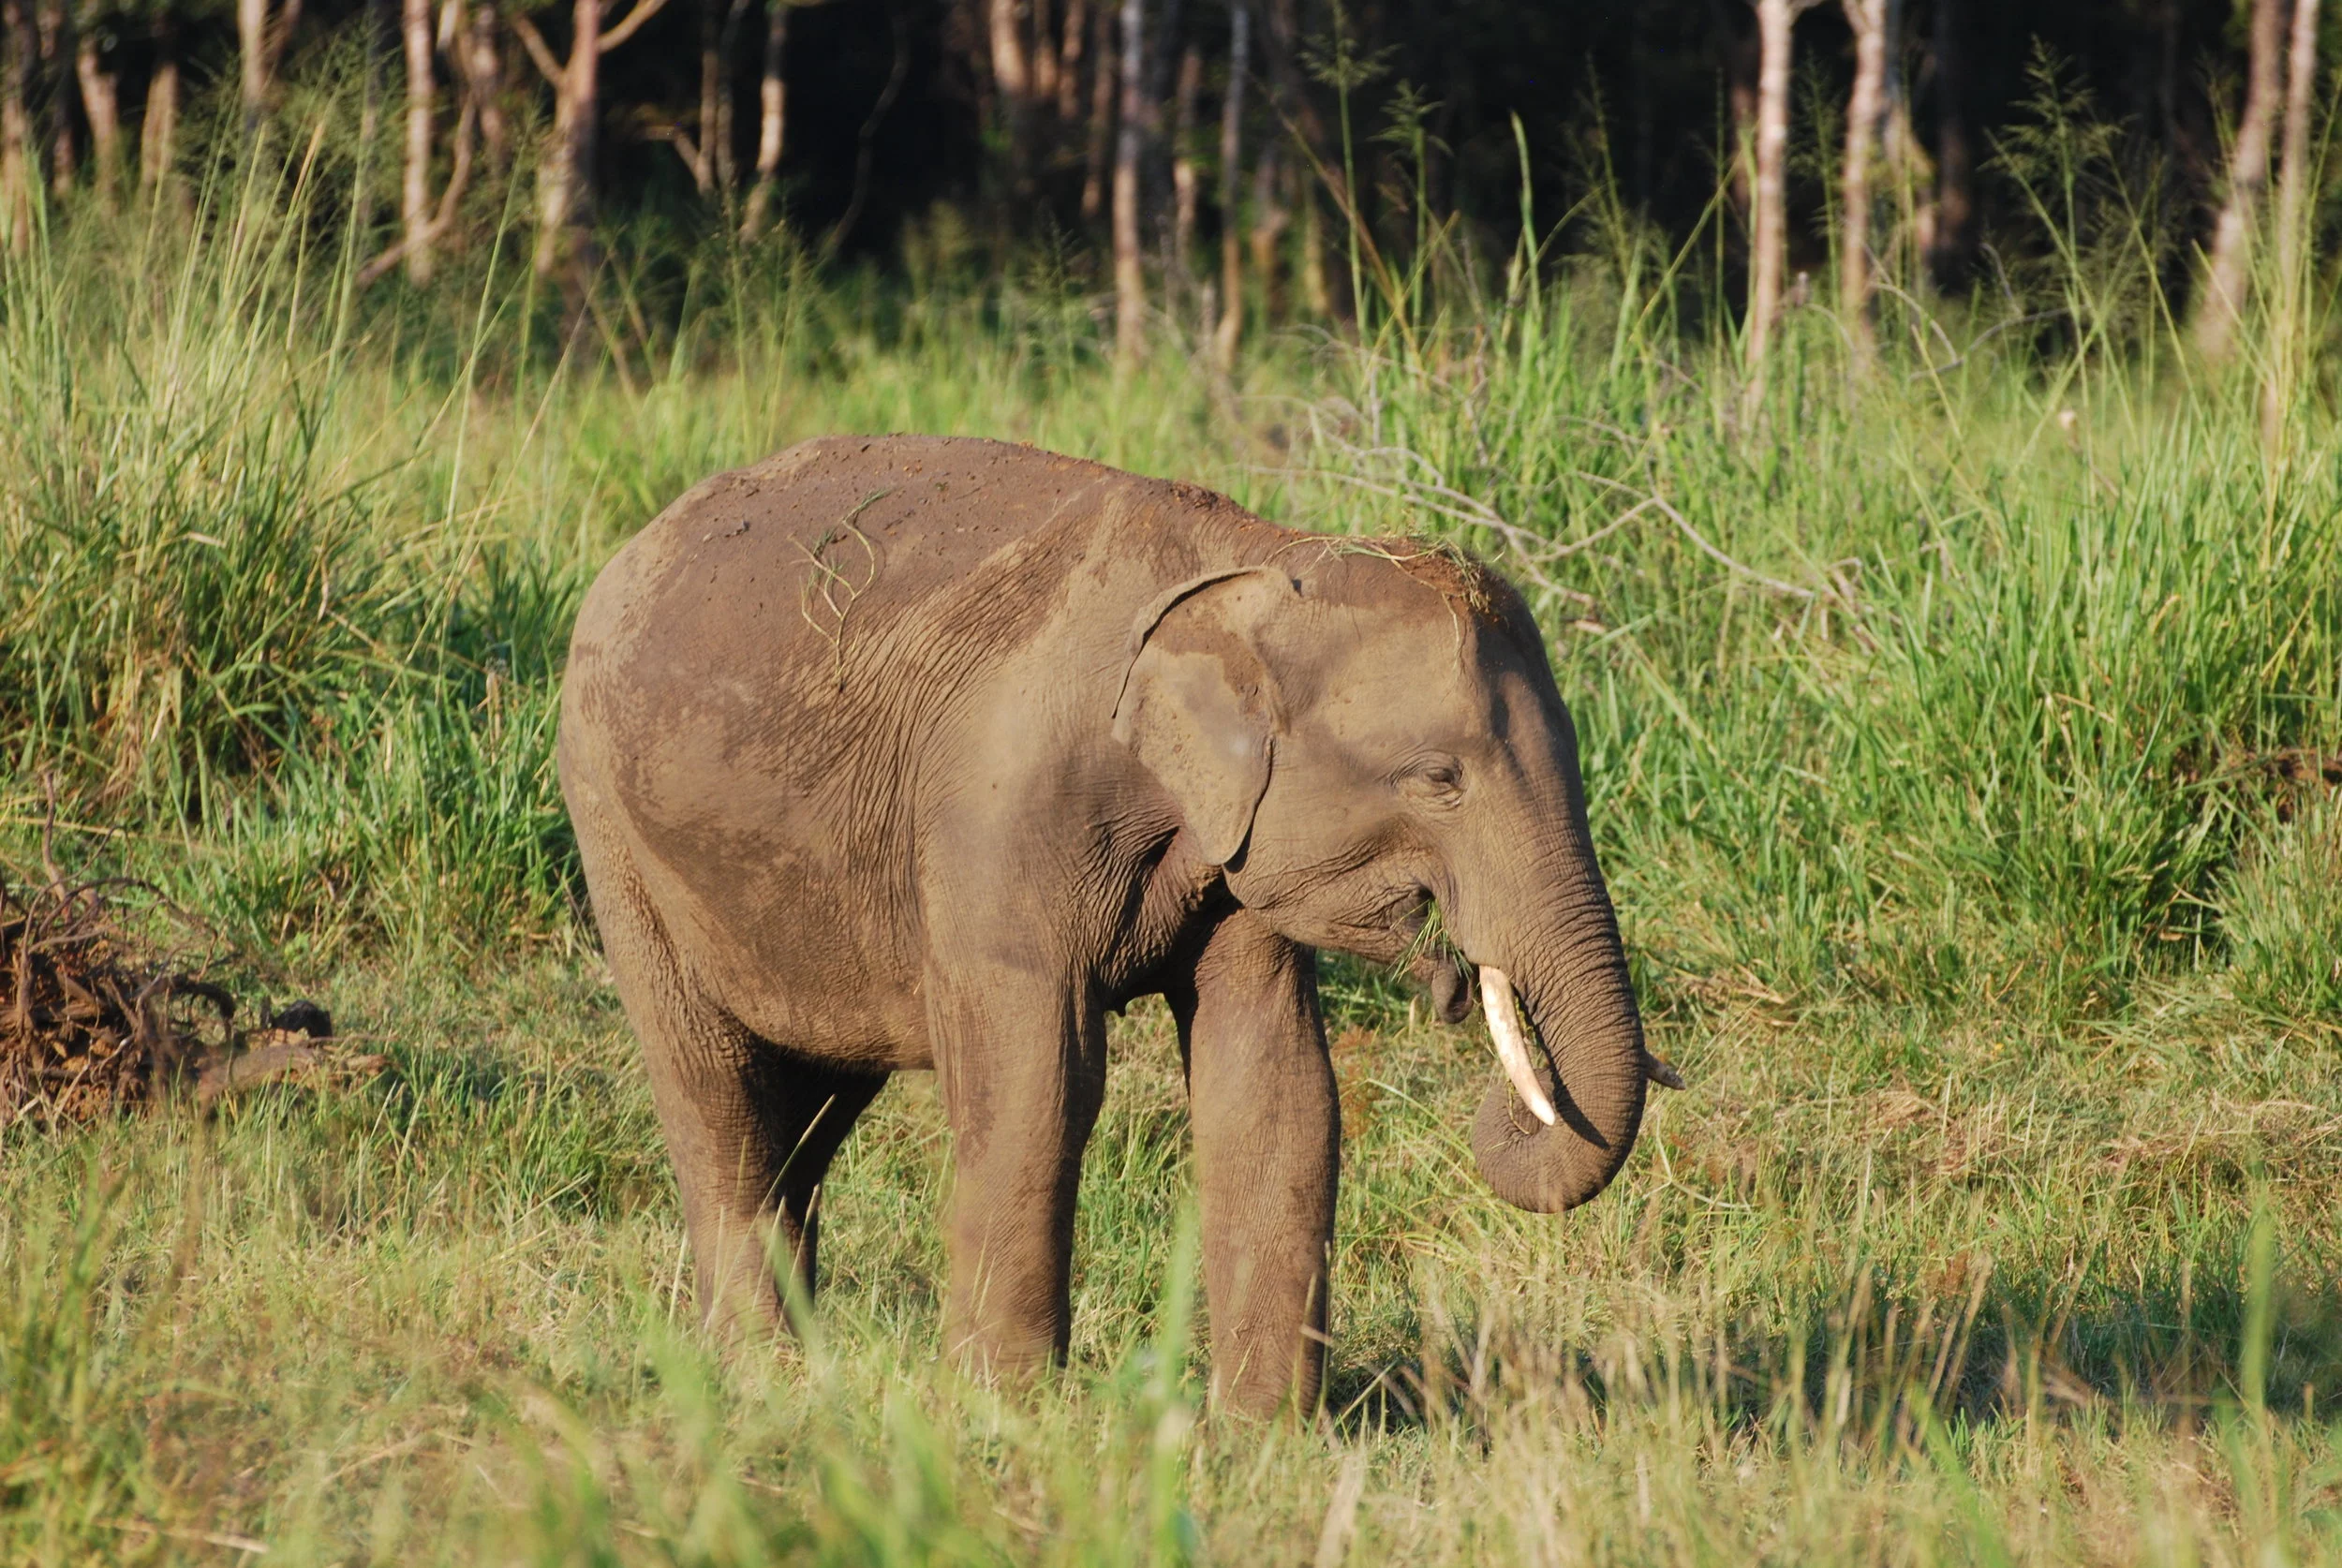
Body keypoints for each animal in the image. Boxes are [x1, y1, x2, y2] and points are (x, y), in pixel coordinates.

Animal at [556, 435, 1669, 1417]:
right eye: (1439, 779)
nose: (1451, 984)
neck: (1259, 563)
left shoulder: (1232, 839)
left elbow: (1273, 1084)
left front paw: (1260, 1438)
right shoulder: (994, 813)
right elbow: (1039, 1084)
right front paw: (1002, 1415)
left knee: (811, 1110)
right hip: (613, 831)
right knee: (717, 1097)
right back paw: (763, 1373)